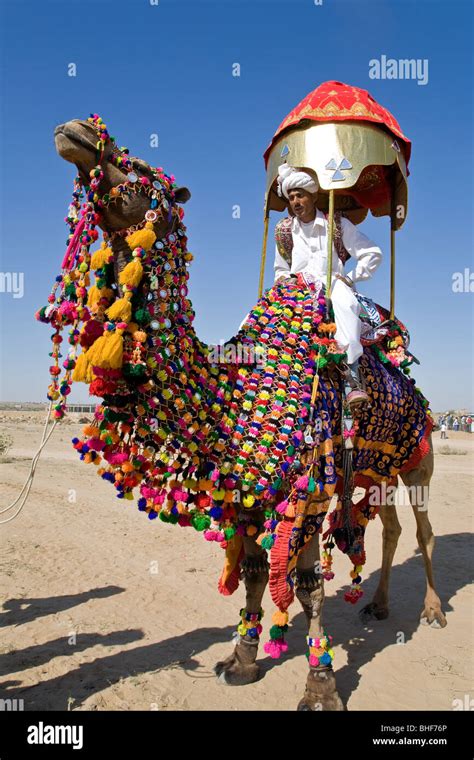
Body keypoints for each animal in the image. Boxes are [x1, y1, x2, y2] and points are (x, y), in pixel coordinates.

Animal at [47, 116, 444, 708]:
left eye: (136, 165)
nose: (76, 131)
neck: (232, 391)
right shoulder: (250, 490)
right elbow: (256, 570)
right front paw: (241, 660)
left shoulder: (308, 489)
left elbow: (307, 585)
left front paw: (320, 685)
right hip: (375, 469)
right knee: (391, 526)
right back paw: (377, 605)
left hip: (418, 458)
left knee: (423, 529)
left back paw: (434, 611)